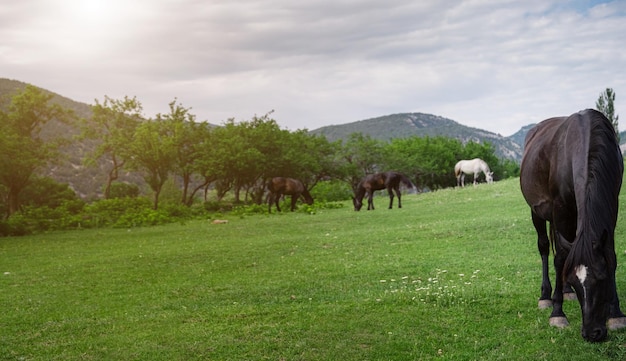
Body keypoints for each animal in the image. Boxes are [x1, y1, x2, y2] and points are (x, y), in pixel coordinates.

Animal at [516, 109, 624, 340]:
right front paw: (558, 313)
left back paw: (564, 292)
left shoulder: (612, 206)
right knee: (545, 247)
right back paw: (546, 296)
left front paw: (616, 314)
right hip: (538, 213)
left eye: (602, 278)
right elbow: (559, 259)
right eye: (576, 283)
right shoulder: (560, 208)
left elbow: (610, 255)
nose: (593, 333)